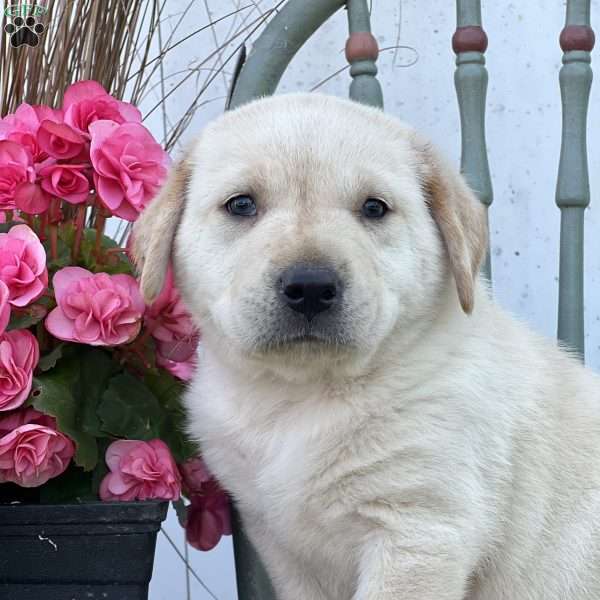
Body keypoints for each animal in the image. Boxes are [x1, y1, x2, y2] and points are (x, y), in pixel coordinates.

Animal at [134, 94, 600, 600]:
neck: (299, 399)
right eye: (241, 205)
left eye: (375, 208)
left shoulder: (418, 529)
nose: (310, 287)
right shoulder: (281, 545)